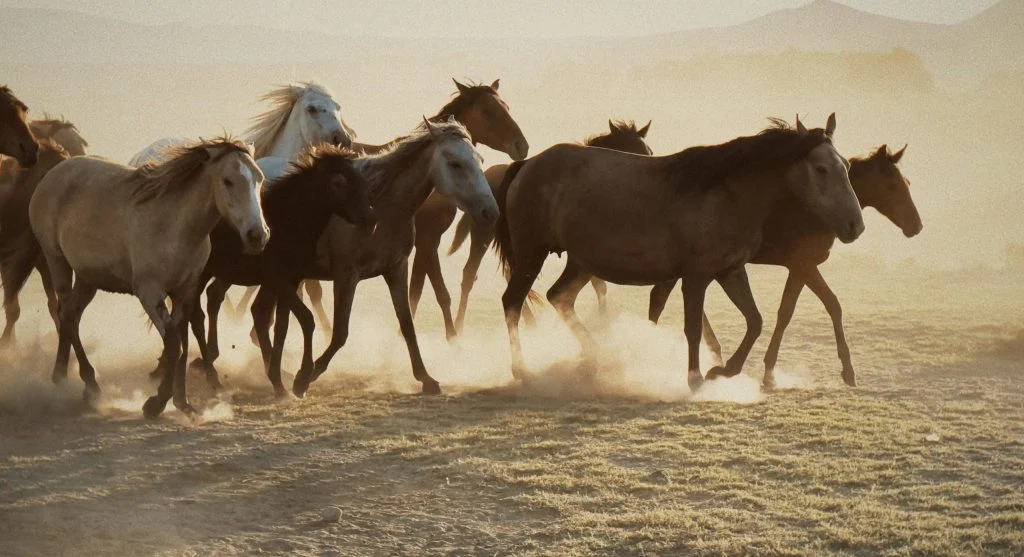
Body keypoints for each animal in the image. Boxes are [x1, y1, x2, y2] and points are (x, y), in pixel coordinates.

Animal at [182, 145, 377, 397]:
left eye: (361, 180)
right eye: (338, 183)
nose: (371, 220)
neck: (289, 222)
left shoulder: (292, 280)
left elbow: (281, 327)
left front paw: (279, 381)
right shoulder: (279, 279)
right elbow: (306, 319)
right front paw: (301, 379)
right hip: (200, 274)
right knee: (196, 314)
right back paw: (208, 374)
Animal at [243, 117, 496, 398]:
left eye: (480, 160)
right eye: (455, 164)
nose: (490, 211)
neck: (381, 206)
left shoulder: (396, 269)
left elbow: (407, 325)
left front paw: (426, 378)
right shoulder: (346, 275)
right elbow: (340, 333)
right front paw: (306, 377)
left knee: (260, 315)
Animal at [447, 119, 653, 333]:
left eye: (648, 151)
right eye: (630, 150)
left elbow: (598, 284)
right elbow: (598, 285)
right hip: (484, 236)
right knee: (472, 274)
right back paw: (460, 325)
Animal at [493, 114, 864, 392]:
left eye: (846, 165)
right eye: (821, 169)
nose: (855, 225)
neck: (726, 194)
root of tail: (528, 165)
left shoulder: (730, 271)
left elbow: (755, 321)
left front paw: (723, 371)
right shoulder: (696, 277)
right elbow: (693, 327)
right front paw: (696, 378)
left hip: (580, 262)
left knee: (560, 297)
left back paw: (594, 359)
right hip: (532, 254)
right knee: (513, 302)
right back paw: (523, 370)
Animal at [646, 142, 922, 389]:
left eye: (907, 183)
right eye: (892, 185)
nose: (916, 226)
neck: (817, 214)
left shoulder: (800, 267)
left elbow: (799, 309)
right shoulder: (803, 264)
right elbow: (813, 308)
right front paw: (845, 371)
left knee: (662, 297)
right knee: (661, 298)